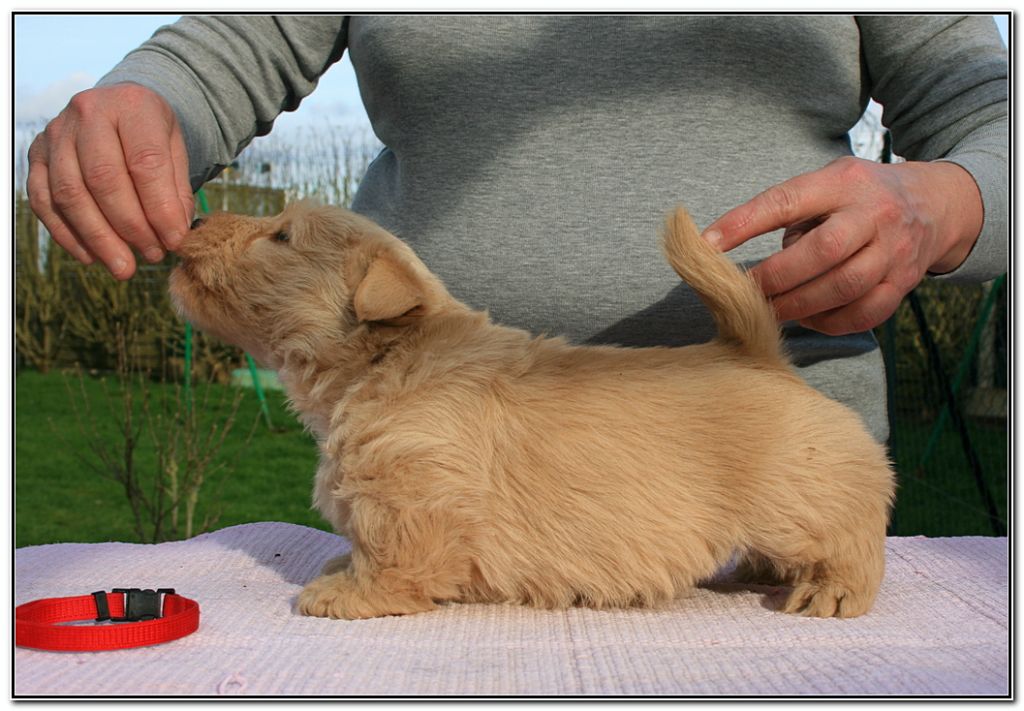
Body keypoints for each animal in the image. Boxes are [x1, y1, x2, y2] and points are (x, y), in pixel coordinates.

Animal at [170, 201, 895, 620]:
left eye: (280, 235)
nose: (195, 219)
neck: (386, 359)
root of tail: (759, 355)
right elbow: (365, 546)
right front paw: (341, 569)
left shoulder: (411, 496)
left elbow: (393, 558)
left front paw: (345, 594)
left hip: (803, 492)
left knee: (852, 531)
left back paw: (832, 590)